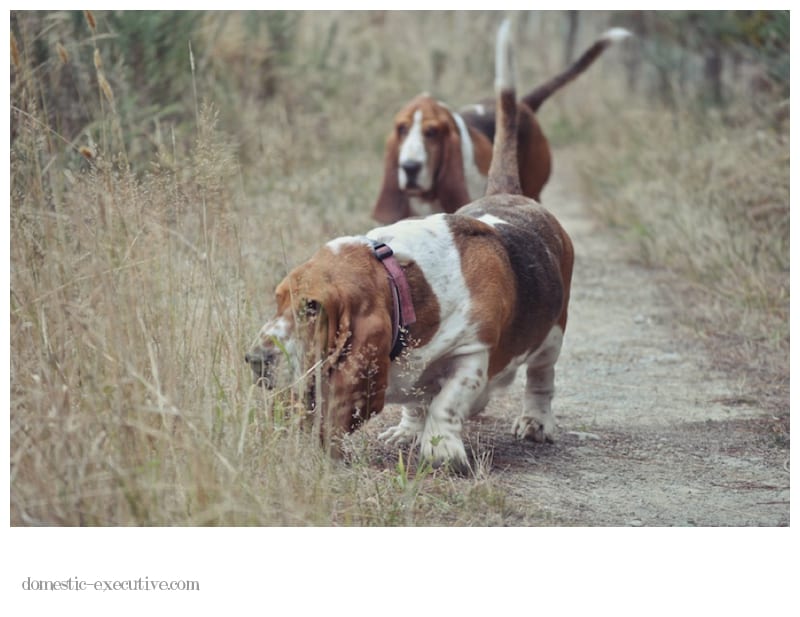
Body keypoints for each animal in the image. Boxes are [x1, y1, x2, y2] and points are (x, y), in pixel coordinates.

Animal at [247, 19, 572, 472]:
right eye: (277, 300)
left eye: (312, 307)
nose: (256, 360)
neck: (403, 283)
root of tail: (511, 194)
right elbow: (419, 400)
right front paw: (414, 432)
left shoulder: (473, 350)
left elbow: (450, 400)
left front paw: (442, 449)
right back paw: (407, 430)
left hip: (553, 332)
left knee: (541, 377)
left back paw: (536, 422)